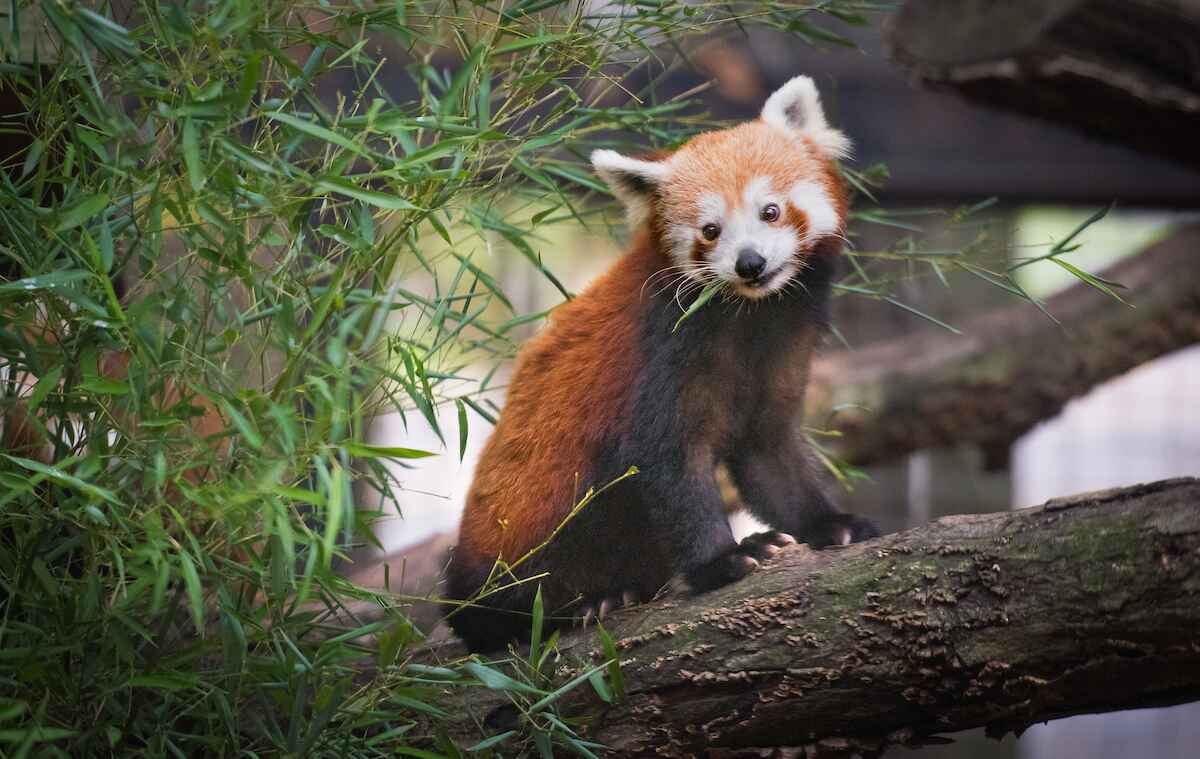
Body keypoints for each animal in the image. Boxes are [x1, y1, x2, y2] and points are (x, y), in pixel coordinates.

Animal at [446, 76, 878, 653]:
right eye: (711, 230)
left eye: (770, 211)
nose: (750, 263)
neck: (750, 318)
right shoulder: (664, 351)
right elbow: (665, 459)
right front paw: (725, 560)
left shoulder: (784, 352)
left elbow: (770, 452)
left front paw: (829, 524)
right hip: (529, 518)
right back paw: (589, 600)